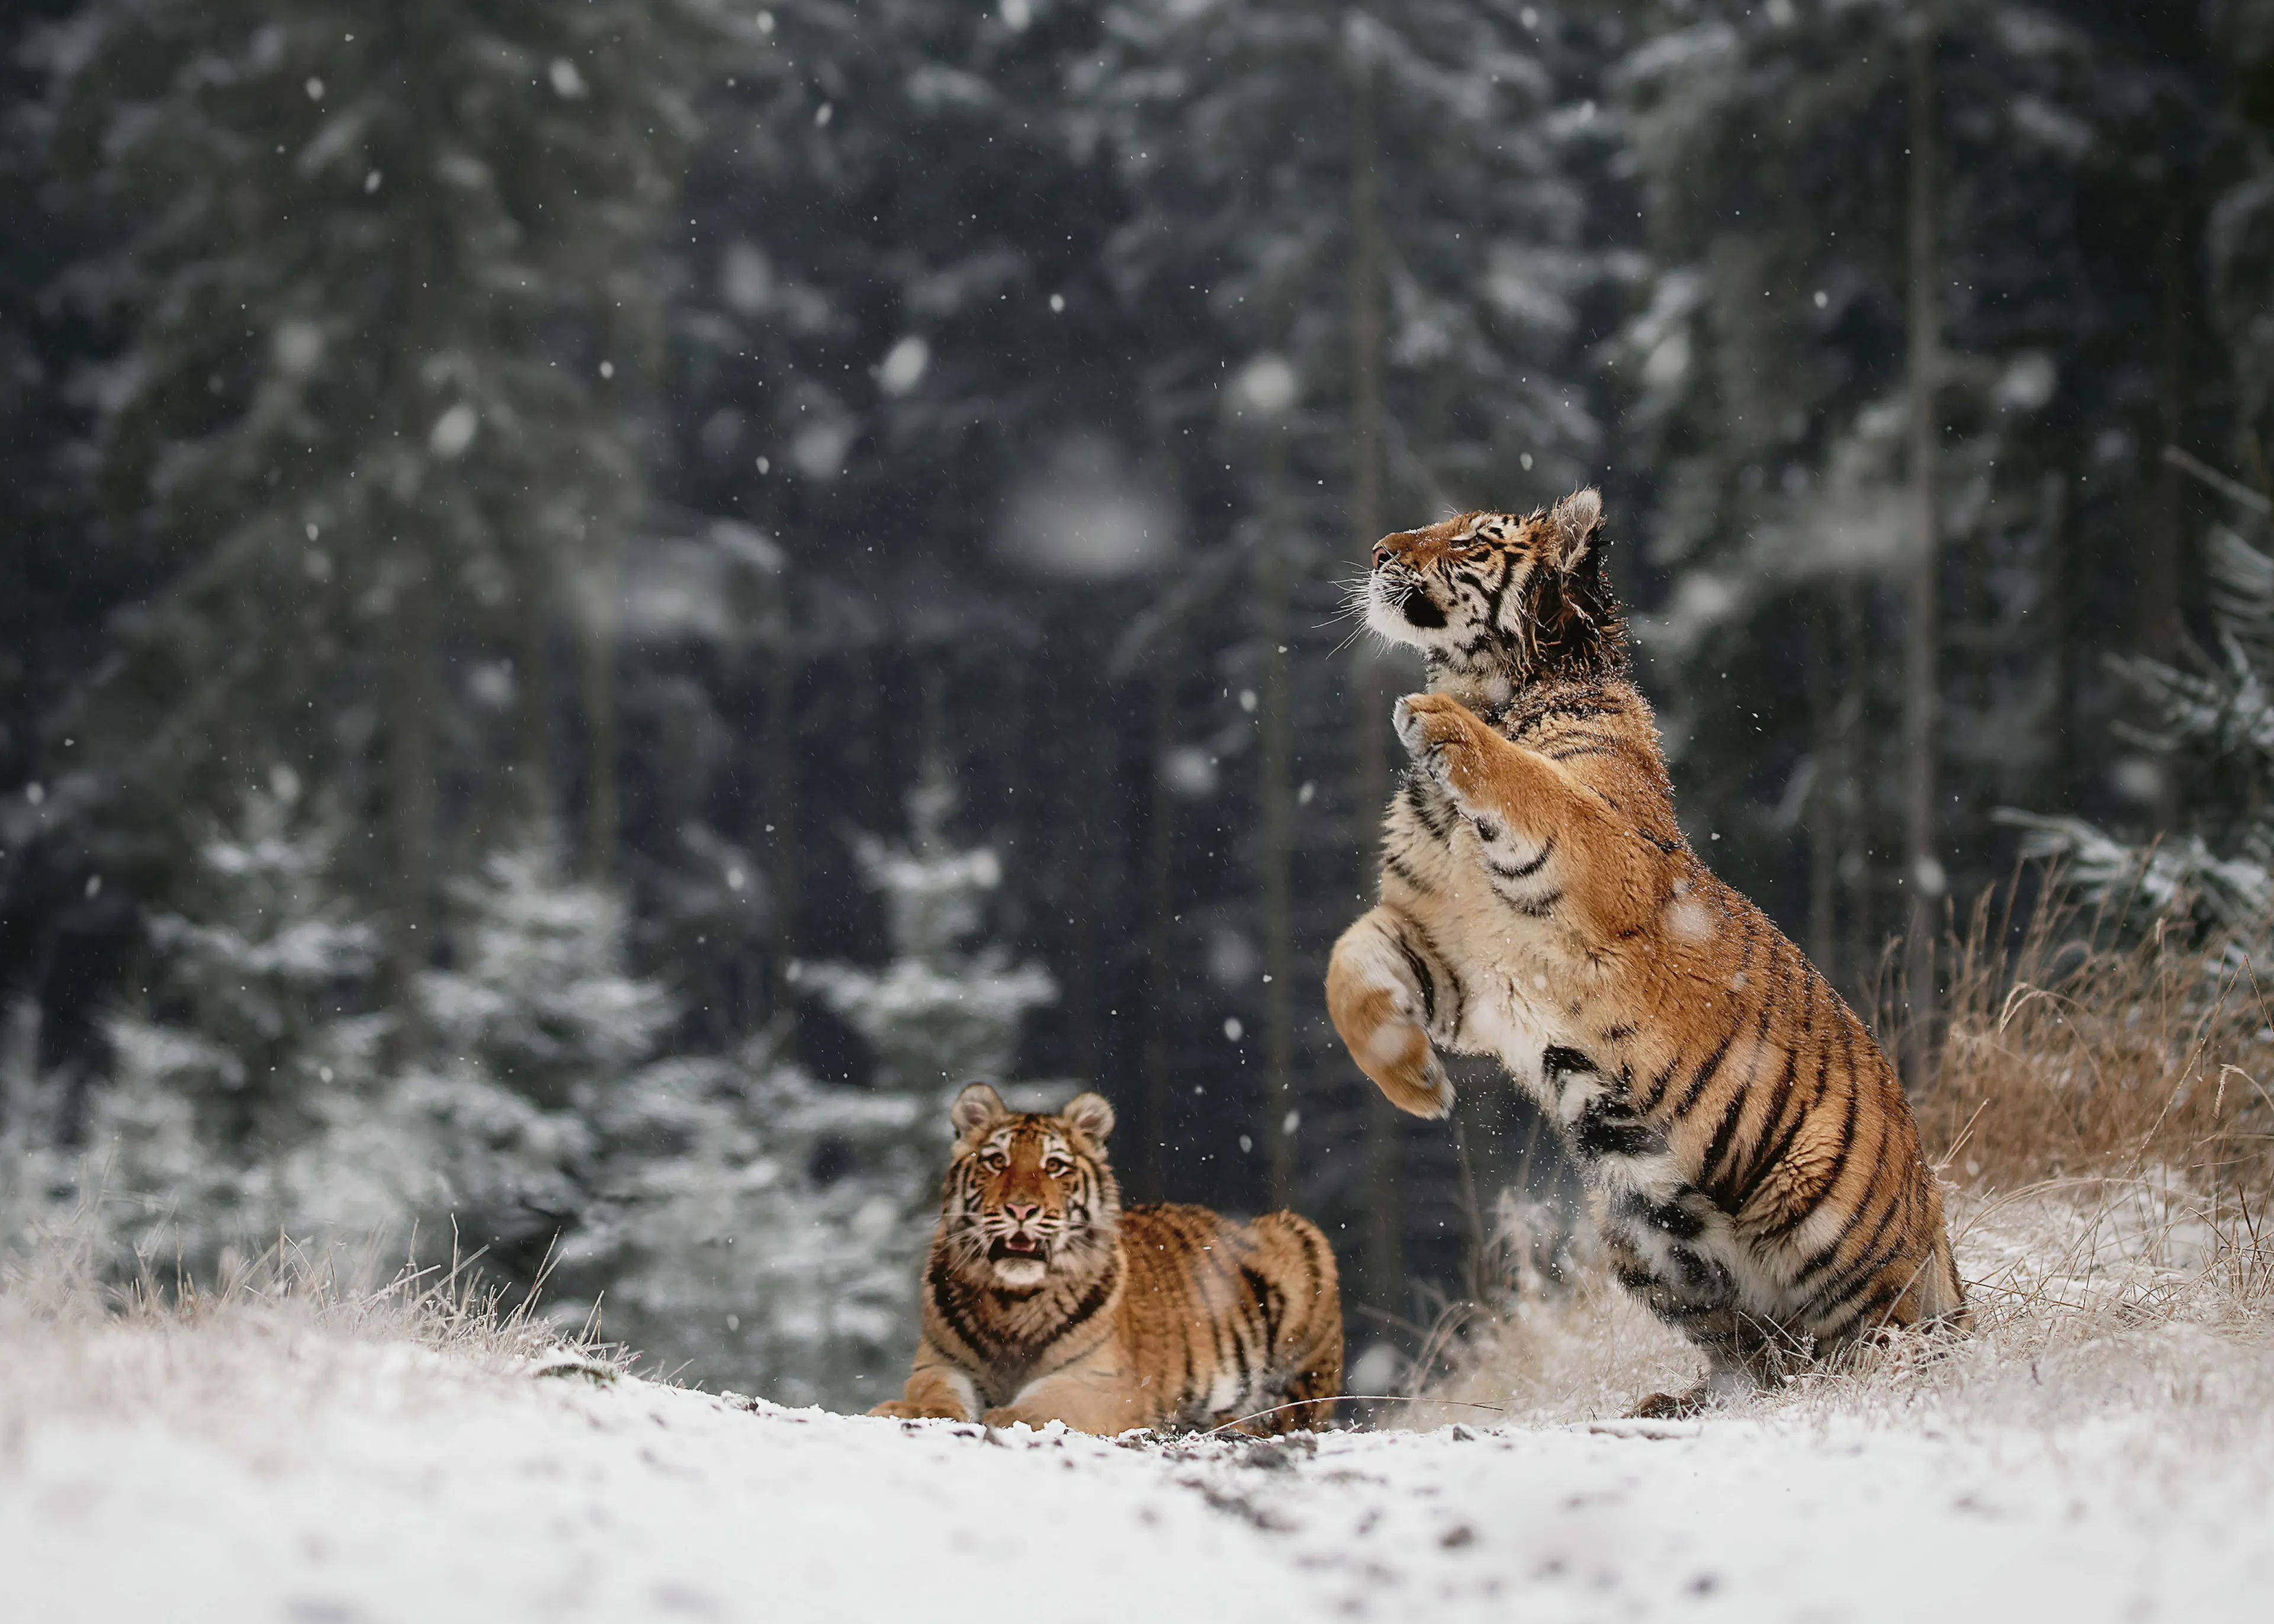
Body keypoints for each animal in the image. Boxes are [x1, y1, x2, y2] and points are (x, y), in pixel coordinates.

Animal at [869, 1082, 1344, 1436]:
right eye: (997, 1161)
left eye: (1055, 1166)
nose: (1021, 1209)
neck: (1012, 1301)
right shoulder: (938, 1363)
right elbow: (934, 1393)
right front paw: (904, 1409)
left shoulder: (1104, 1382)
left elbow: (1049, 1401)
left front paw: (1006, 1415)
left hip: (1301, 1241)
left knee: (1295, 1411)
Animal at [1325, 489, 1965, 1415]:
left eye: (1473, 540)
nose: (1378, 550)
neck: (1493, 684)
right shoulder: (1449, 958)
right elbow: (1347, 962)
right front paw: (1414, 1083)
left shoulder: (1606, 861)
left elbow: (1533, 782)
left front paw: (1439, 722)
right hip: (1636, 1227)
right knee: (1759, 1349)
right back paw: (1687, 1400)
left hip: (1814, 1203)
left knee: (1884, 1338)